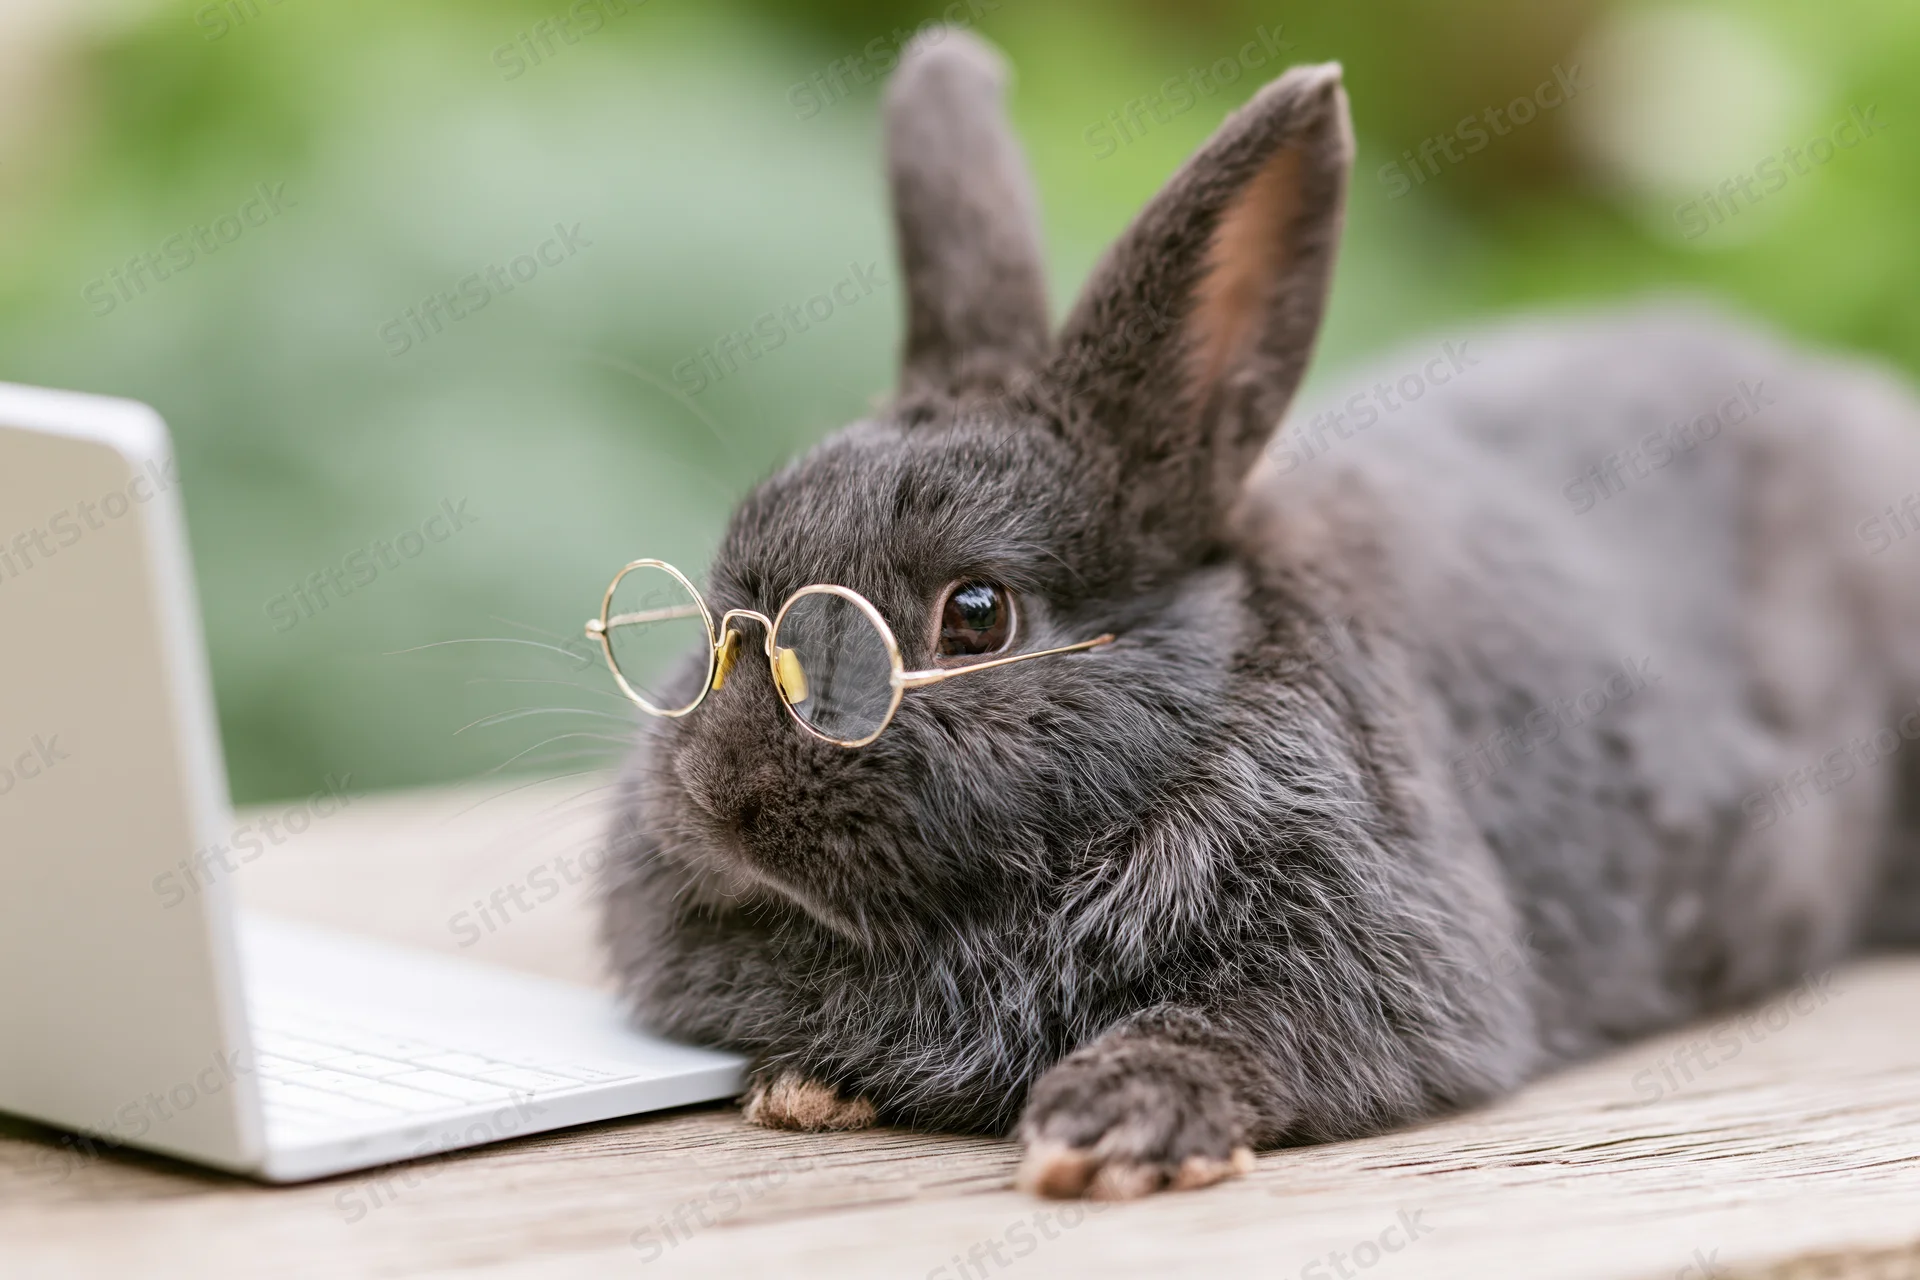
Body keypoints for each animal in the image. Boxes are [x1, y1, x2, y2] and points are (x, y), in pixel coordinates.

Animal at [599, 27, 1920, 1200]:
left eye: (976, 613)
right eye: (729, 585)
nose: (718, 793)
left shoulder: (1384, 956)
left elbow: (1261, 1030)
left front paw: (1115, 1122)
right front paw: (804, 1081)